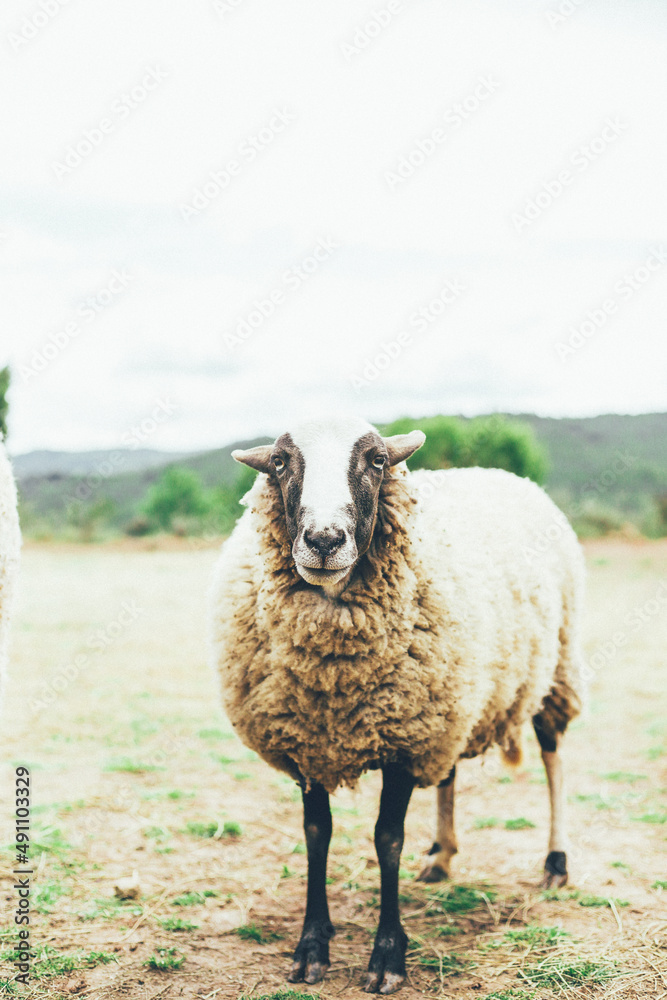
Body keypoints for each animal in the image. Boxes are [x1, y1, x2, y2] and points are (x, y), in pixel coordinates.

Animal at [209, 416, 585, 994]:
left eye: (378, 461)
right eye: (279, 461)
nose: (324, 540)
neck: (332, 672)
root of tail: (509, 475)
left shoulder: (403, 741)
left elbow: (387, 839)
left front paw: (387, 956)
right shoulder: (309, 739)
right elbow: (316, 835)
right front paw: (312, 945)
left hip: (553, 666)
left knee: (553, 757)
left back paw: (556, 862)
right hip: (452, 701)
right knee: (450, 772)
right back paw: (442, 856)